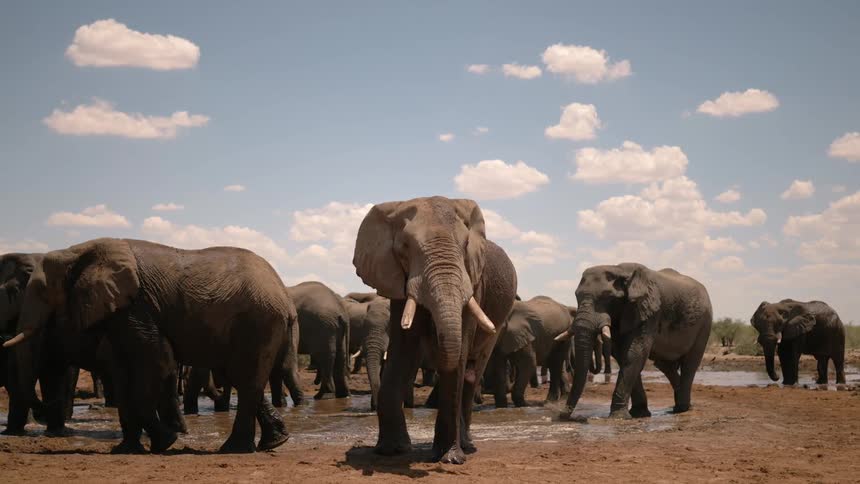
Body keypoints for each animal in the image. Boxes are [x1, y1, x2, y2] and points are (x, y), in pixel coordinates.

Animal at [3, 238, 295, 454]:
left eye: (41, 291)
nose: (43, 412)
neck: (78, 251)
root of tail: (283, 292)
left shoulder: (136, 306)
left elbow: (156, 365)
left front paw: (164, 443)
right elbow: (123, 372)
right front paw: (128, 450)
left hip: (258, 322)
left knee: (245, 377)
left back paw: (233, 449)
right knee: (242, 377)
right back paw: (274, 442)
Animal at [353, 196, 517, 464]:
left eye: (465, 245)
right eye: (405, 247)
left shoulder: (473, 282)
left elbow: (458, 355)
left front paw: (450, 458)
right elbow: (404, 350)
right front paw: (391, 450)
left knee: (474, 372)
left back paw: (466, 443)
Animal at [557, 263, 712, 420]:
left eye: (608, 297)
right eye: (577, 296)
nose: (563, 415)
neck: (620, 270)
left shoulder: (648, 311)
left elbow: (635, 353)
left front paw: (619, 417)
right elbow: (621, 354)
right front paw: (639, 413)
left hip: (705, 323)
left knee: (690, 363)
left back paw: (682, 408)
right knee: (664, 364)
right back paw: (681, 404)